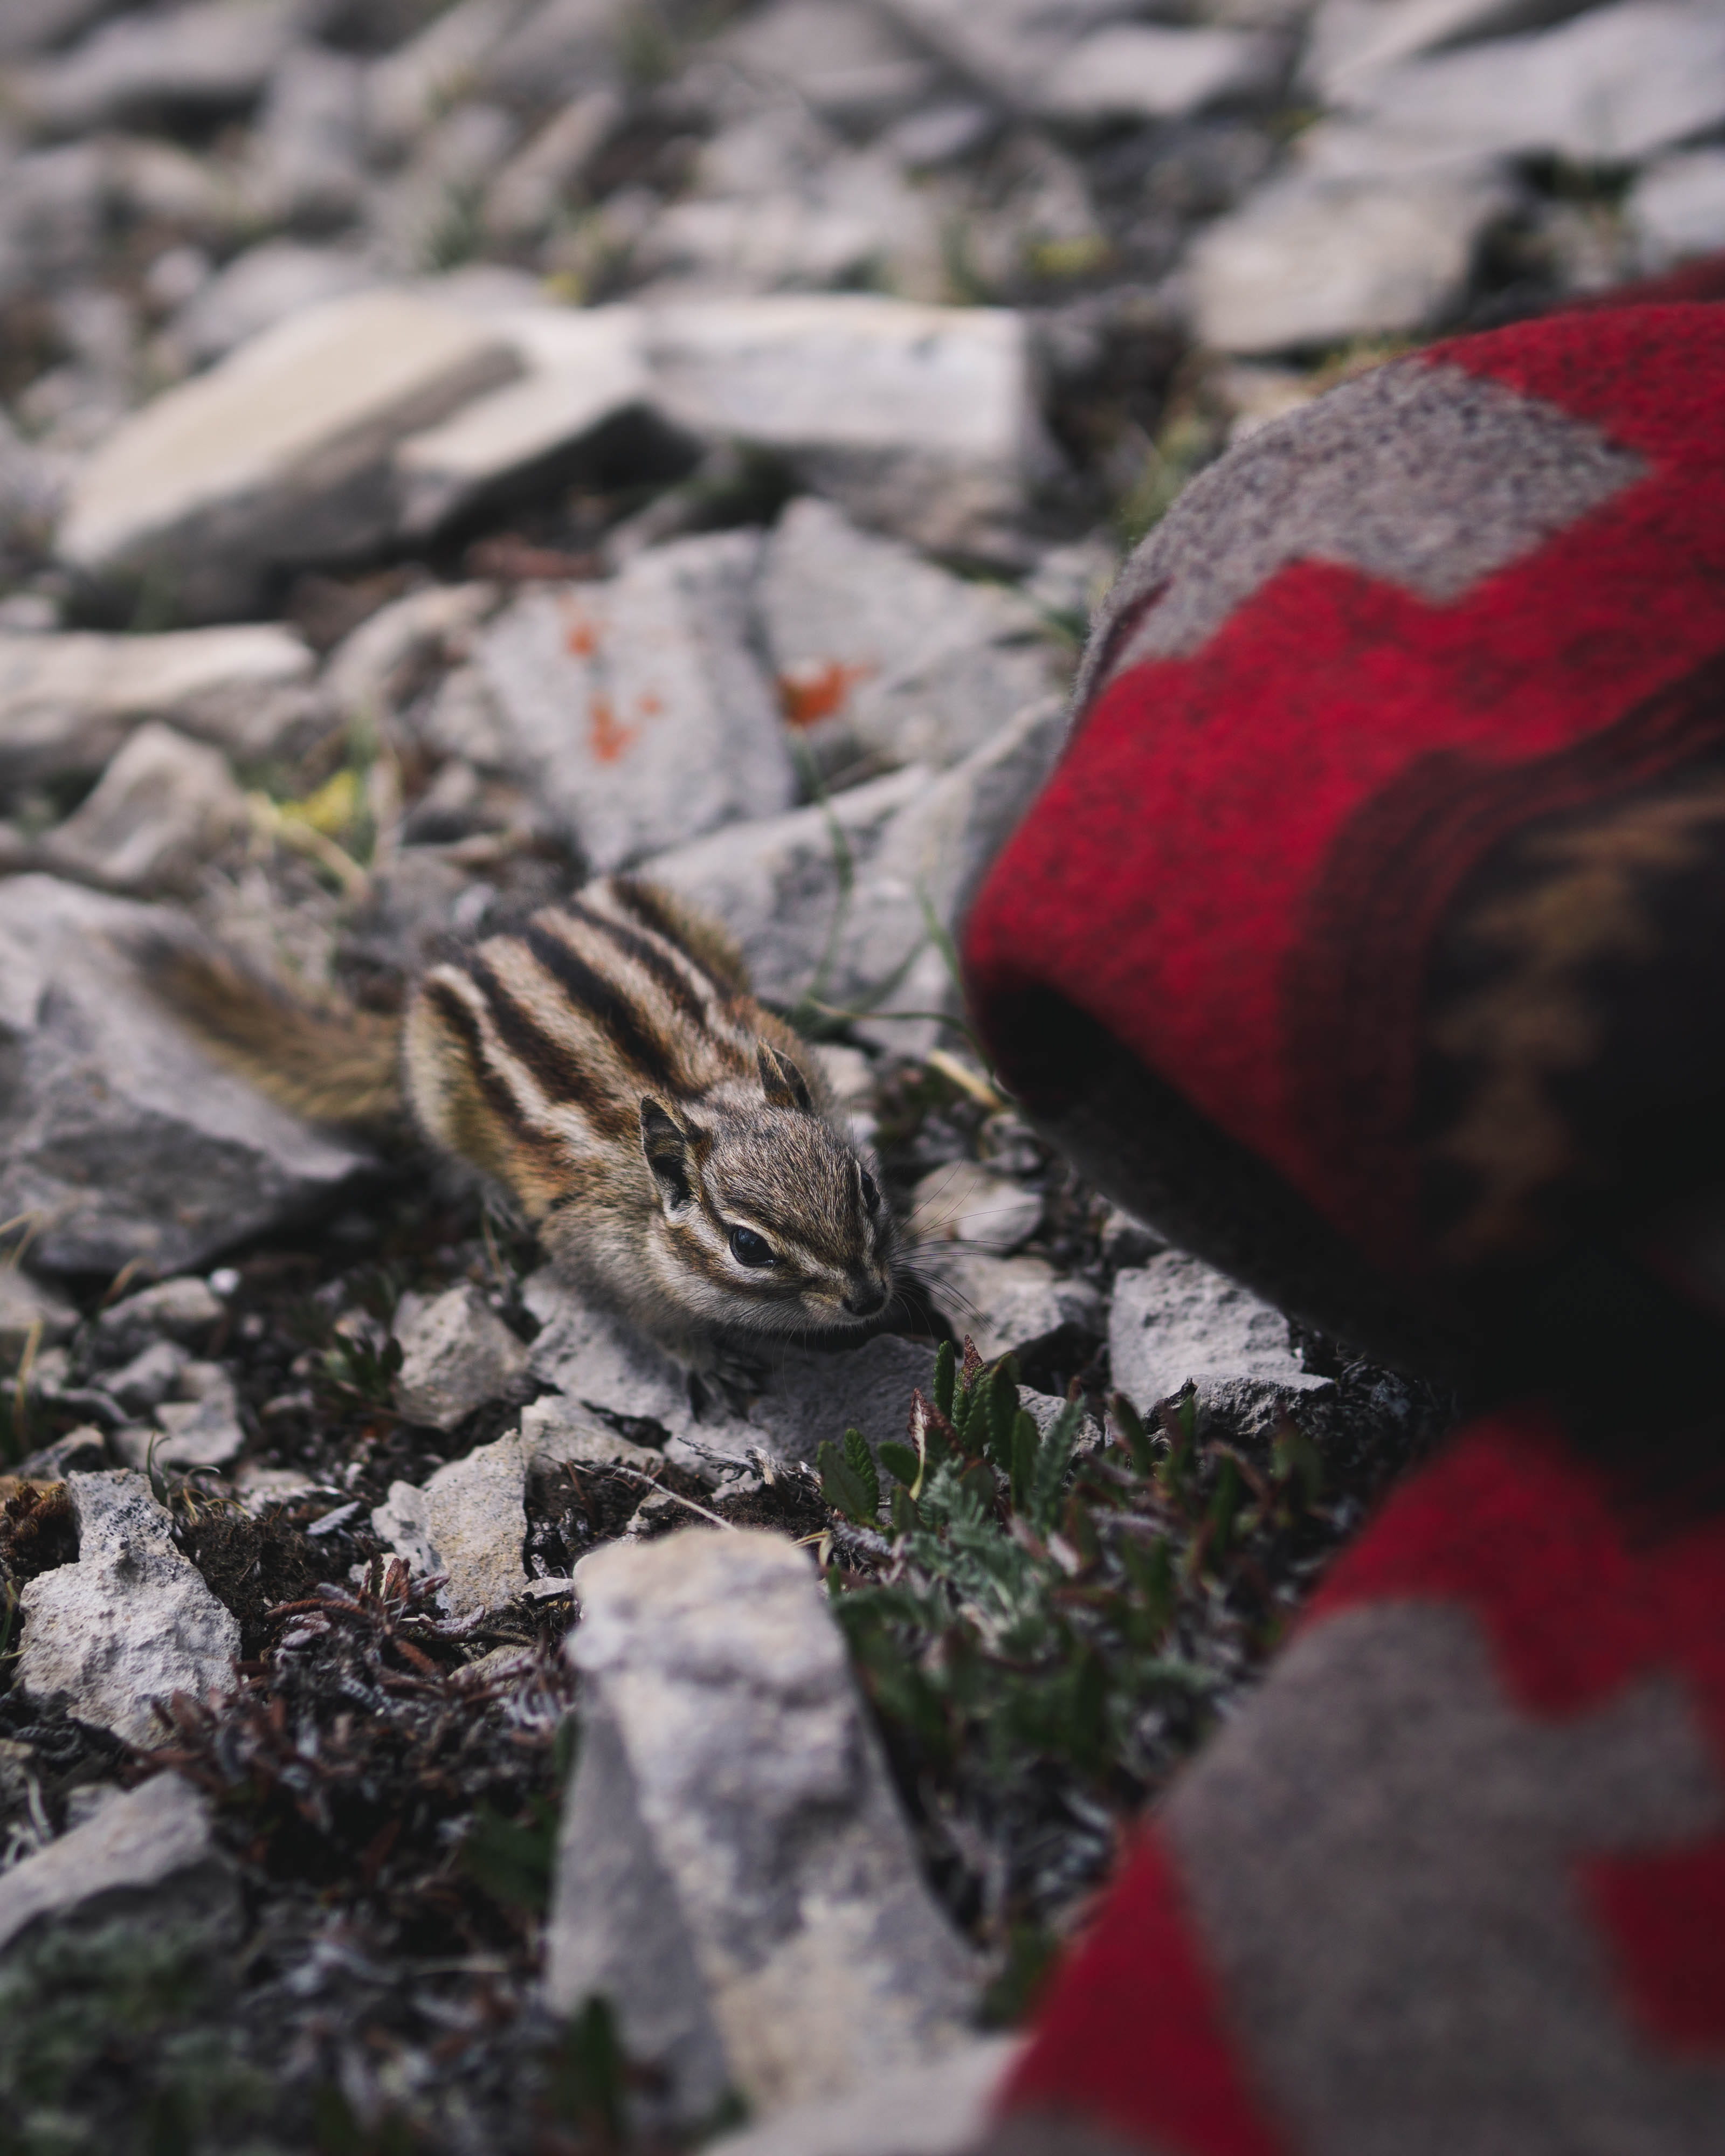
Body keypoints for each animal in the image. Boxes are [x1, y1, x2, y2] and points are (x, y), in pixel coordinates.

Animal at [149, 875, 897, 1398]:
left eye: (866, 1186)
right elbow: (653, 1324)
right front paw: (707, 1363)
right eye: (748, 1247)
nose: (869, 1298)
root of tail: (505, 934)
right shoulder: (598, 1255)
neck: (701, 1095)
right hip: (436, 1089)